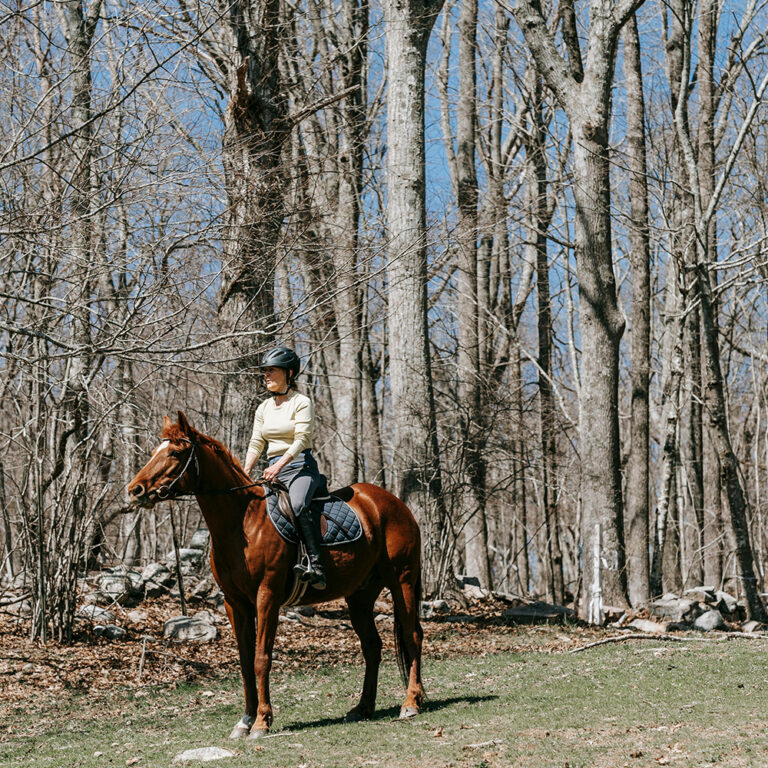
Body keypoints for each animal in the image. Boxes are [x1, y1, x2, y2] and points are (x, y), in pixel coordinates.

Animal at [127, 412, 426, 740]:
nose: (135, 490)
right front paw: (244, 721)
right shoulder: (235, 603)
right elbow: (245, 662)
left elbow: (261, 659)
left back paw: (411, 703)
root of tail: (395, 504)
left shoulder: (266, 597)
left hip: (402, 582)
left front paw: (261, 721)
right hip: (359, 596)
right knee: (372, 646)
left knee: (412, 636)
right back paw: (363, 708)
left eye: (175, 453)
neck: (242, 522)